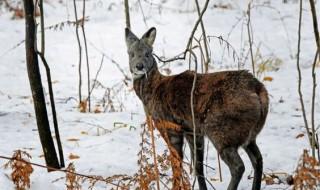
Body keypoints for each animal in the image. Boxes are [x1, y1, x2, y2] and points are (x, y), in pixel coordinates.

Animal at [124, 27, 268, 190]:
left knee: (238, 166)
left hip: (221, 131)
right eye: (131, 53)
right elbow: (198, 166)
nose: (139, 66)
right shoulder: (192, 130)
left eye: (148, 53)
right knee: (258, 159)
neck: (153, 90)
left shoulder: (169, 126)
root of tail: (258, 90)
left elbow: (176, 162)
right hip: (248, 135)